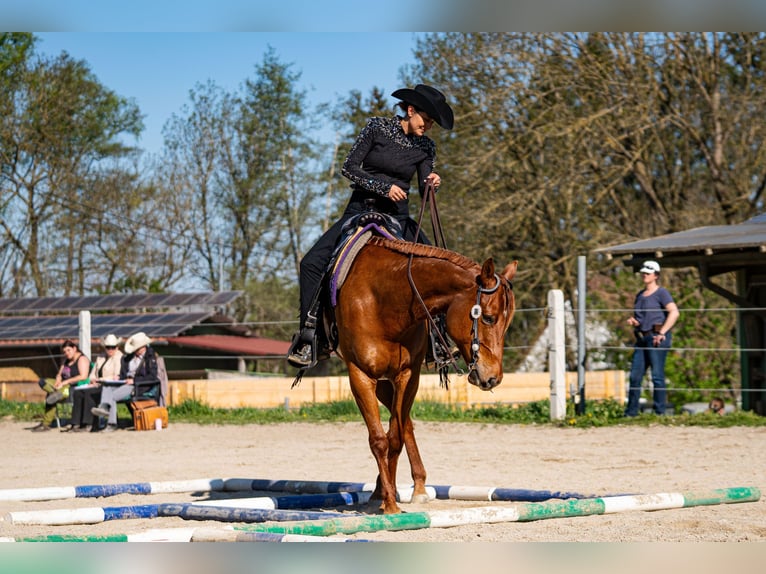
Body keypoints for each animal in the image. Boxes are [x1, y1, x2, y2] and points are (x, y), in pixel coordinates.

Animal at [333, 235, 518, 514]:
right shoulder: (360, 375)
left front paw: (387, 497)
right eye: (487, 318)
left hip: (391, 383)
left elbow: (395, 437)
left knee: (404, 425)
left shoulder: (408, 375)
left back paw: (412, 488)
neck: (384, 299)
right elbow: (378, 440)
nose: (493, 378)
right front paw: (390, 504)